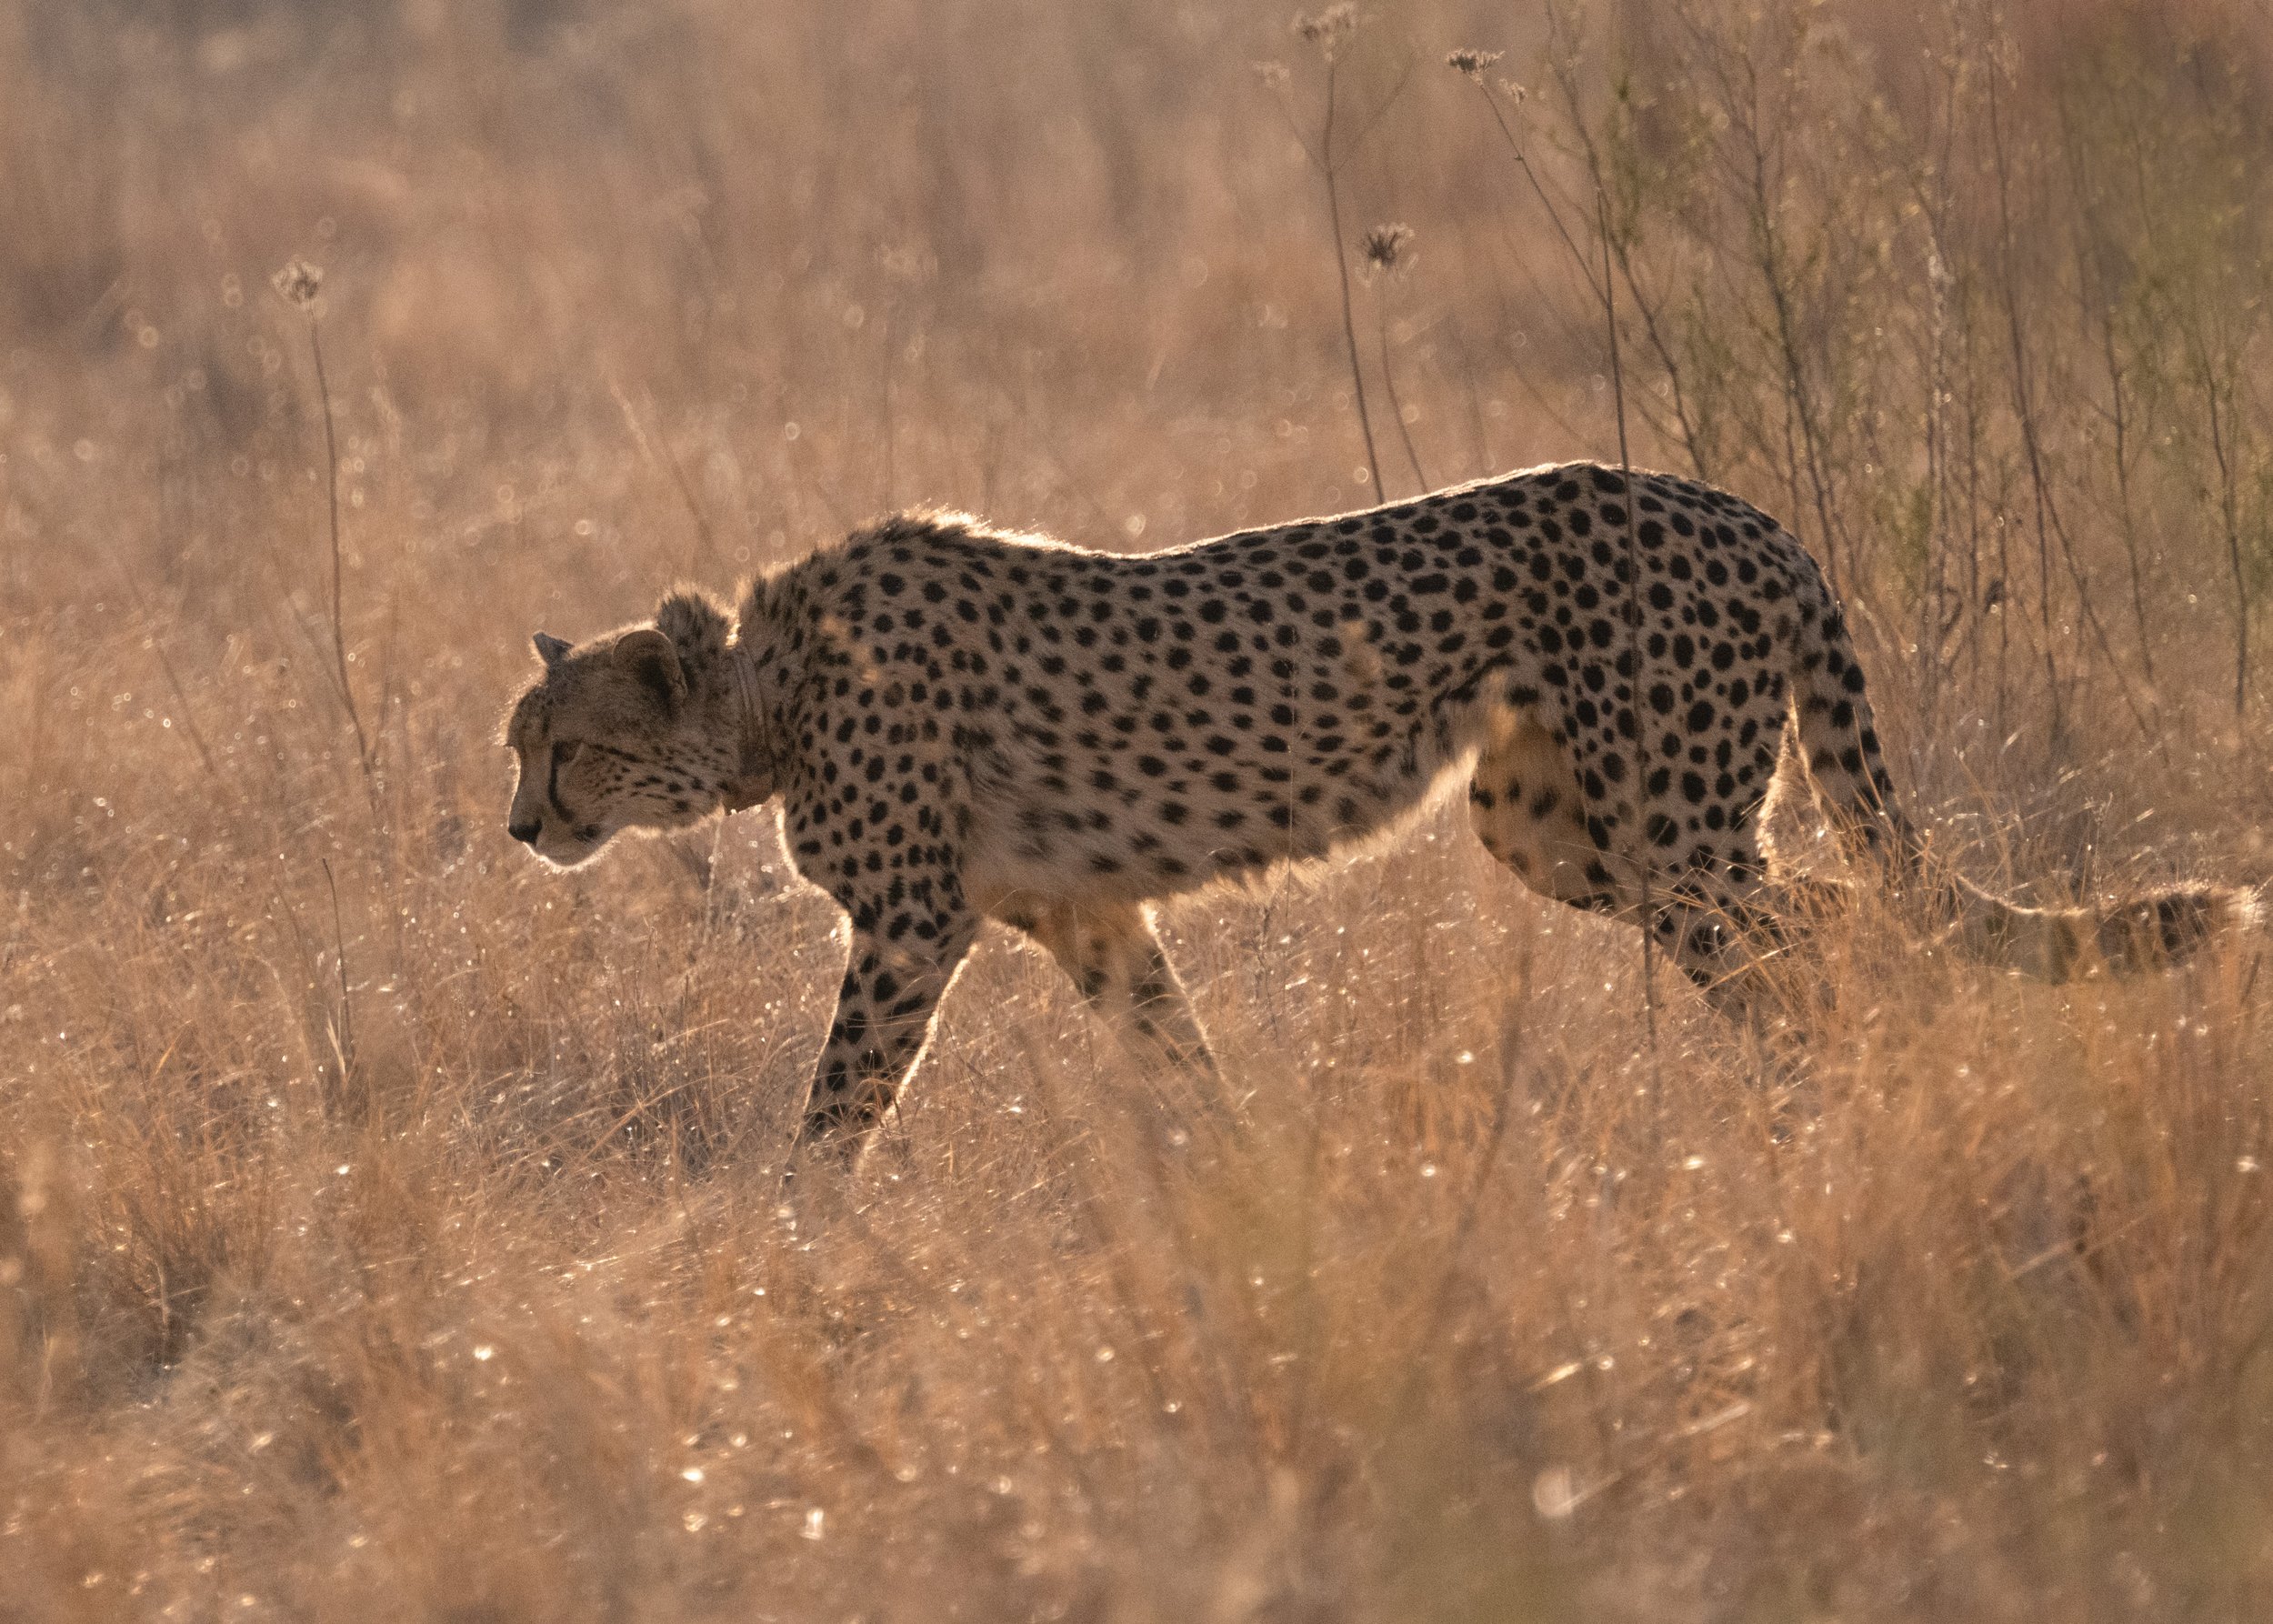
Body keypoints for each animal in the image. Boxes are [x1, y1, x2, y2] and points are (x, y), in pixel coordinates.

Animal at [504, 463, 2254, 1164]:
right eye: (519, 748)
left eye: (567, 750)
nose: (519, 832)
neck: (764, 694)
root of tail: (1740, 509)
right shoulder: (1089, 912)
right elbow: (1180, 1055)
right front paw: (1257, 1179)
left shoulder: (912, 924)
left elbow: (838, 1106)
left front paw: (781, 1239)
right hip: (1562, 831)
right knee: (1836, 912)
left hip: (1670, 836)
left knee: (1818, 951)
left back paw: (1847, 1109)